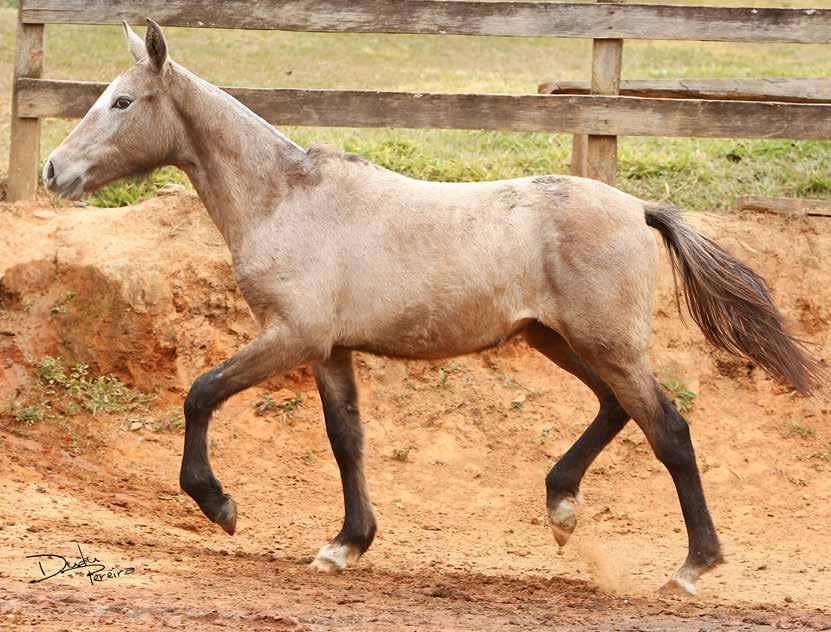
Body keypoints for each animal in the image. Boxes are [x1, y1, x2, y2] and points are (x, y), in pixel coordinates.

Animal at [45, 17, 824, 596]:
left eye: (122, 102)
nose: (54, 170)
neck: (286, 199)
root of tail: (638, 208)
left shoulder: (292, 336)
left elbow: (201, 393)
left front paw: (220, 505)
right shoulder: (329, 350)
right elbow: (346, 439)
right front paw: (346, 545)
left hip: (606, 343)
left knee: (669, 431)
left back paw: (691, 568)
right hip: (559, 340)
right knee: (614, 409)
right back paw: (561, 507)